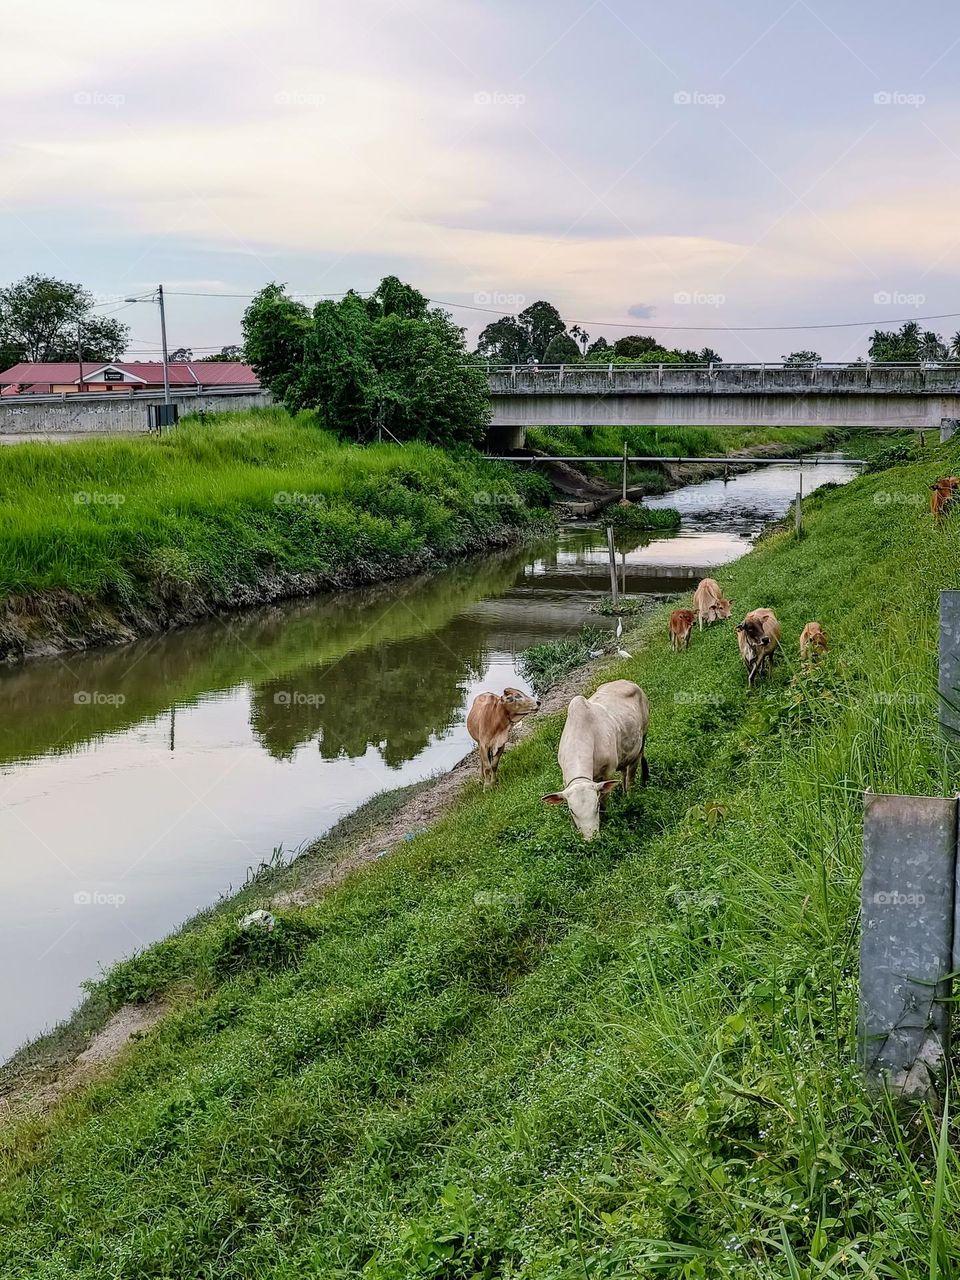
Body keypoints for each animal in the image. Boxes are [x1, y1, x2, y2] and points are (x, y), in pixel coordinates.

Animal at [545, 675, 650, 844]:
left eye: (596, 807)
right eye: (572, 811)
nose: (591, 839)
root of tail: (625, 681)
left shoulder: (607, 773)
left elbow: (605, 801)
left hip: (643, 735)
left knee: (633, 770)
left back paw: (632, 792)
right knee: (624, 771)